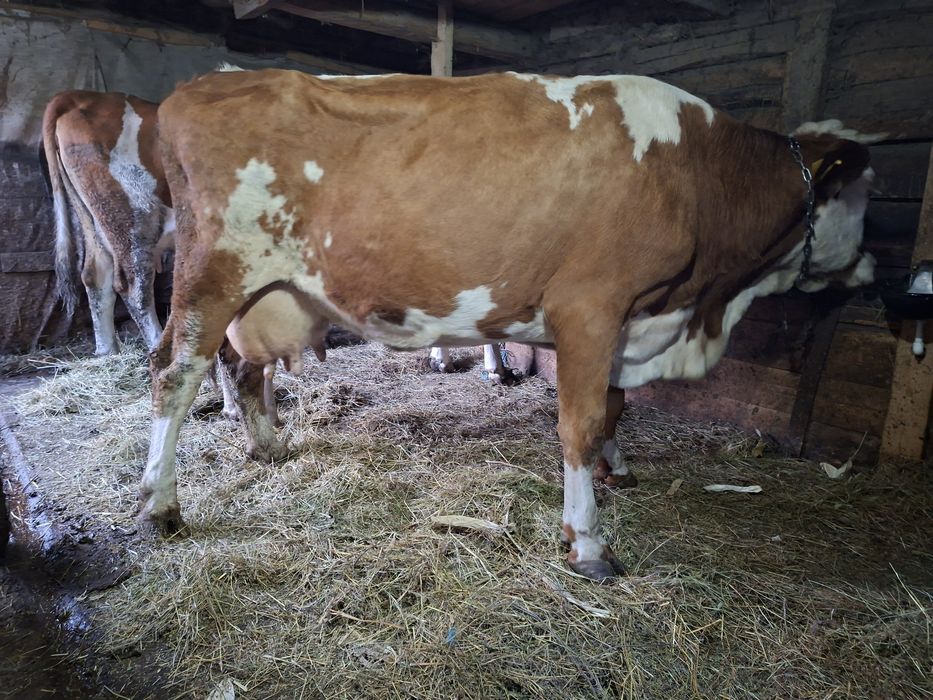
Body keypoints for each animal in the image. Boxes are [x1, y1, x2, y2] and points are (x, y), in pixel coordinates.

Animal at [140, 69, 876, 580]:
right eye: (862, 196)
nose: (871, 267)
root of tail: (190, 90)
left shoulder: (625, 320)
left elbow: (614, 406)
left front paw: (617, 468)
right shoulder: (590, 305)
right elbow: (580, 423)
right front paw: (587, 540)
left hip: (262, 292)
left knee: (242, 365)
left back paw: (266, 446)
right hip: (213, 273)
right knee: (174, 373)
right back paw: (159, 504)